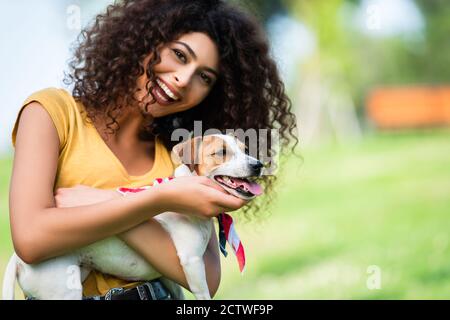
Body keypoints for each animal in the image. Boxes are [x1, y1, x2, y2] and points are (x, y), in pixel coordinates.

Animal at [1, 132, 264, 300]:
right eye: (221, 152)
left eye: (246, 150)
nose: (258, 165)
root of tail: (17, 258)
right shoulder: (191, 262)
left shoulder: (171, 275)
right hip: (62, 290)